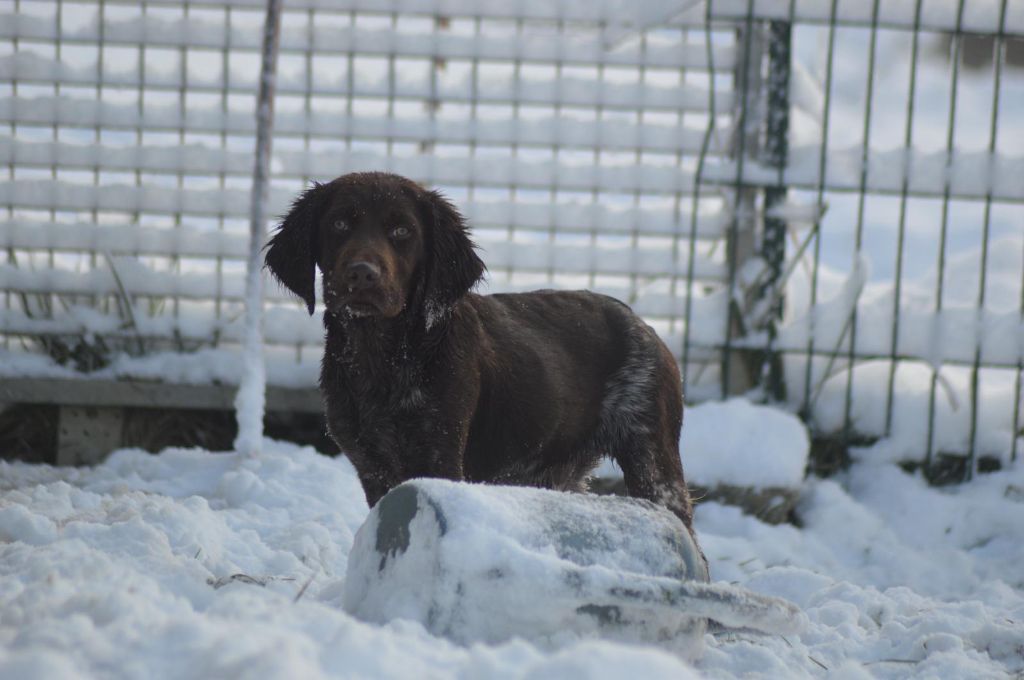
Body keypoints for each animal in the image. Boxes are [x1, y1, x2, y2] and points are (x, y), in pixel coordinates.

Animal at [264, 173, 700, 540]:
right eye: (339, 224)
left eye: (402, 231)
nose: (362, 273)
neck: (383, 358)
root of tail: (639, 322)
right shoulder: (372, 467)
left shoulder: (440, 457)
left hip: (653, 460)